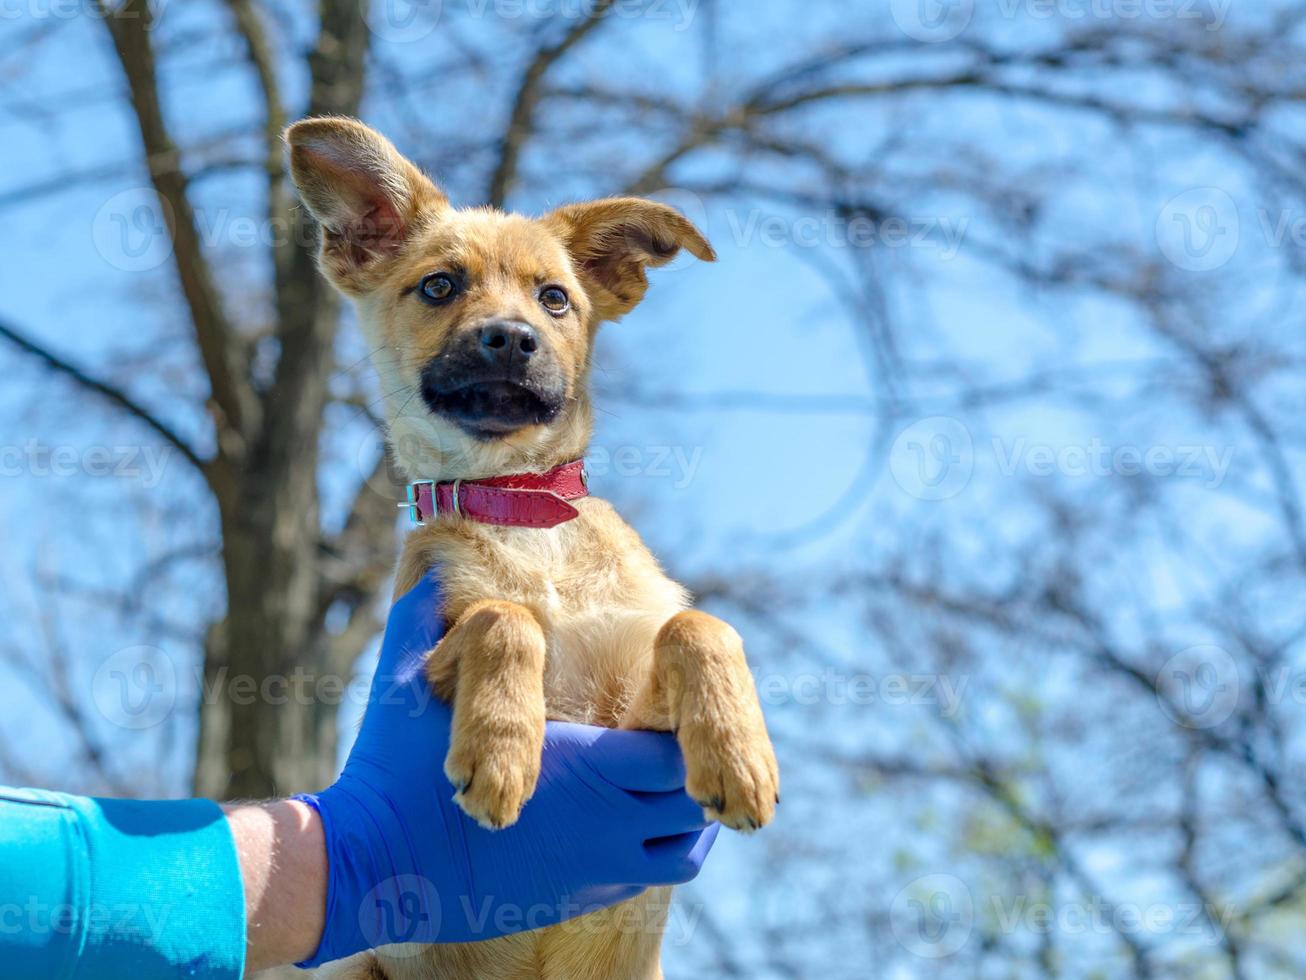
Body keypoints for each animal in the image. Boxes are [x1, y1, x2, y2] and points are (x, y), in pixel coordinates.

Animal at [286, 116, 773, 980]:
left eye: (555, 299)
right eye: (439, 287)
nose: (510, 339)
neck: (522, 512)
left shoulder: (637, 725)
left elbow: (698, 624)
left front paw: (737, 751)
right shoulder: (436, 651)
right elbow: (504, 618)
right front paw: (502, 749)